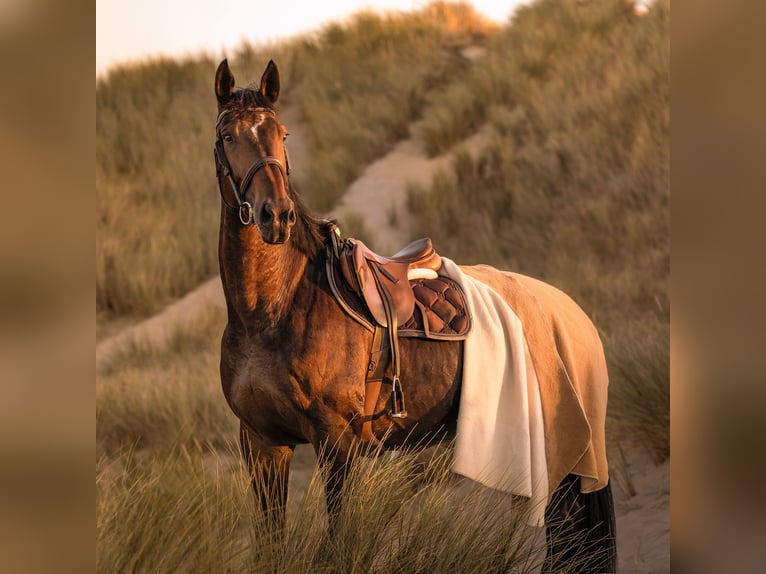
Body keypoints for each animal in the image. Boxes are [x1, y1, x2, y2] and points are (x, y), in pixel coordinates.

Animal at [213, 58, 617, 573]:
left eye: (280, 135)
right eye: (228, 135)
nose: (277, 216)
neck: (271, 312)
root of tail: (573, 311)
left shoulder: (337, 444)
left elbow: (338, 543)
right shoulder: (263, 444)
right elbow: (270, 546)